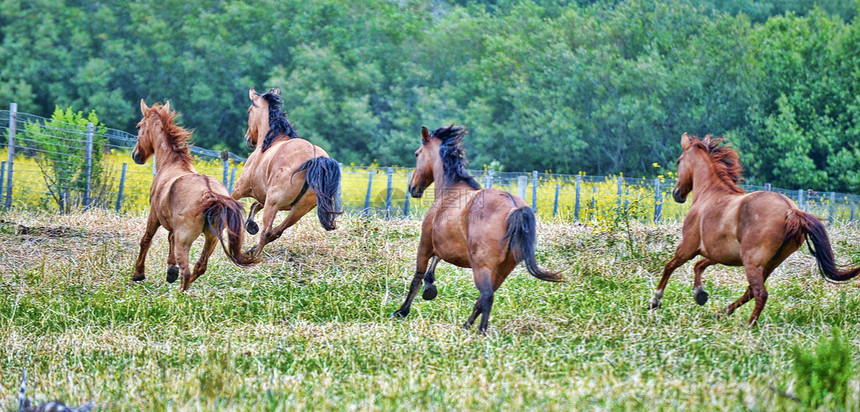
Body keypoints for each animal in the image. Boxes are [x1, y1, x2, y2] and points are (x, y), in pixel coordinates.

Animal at [131, 100, 258, 292]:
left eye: (139, 126)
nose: (136, 155)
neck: (172, 164)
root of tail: (212, 195)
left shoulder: (154, 215)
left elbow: (146, 240)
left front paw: (138, 273)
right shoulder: (173, 225)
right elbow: (170, 238)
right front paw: (171, 270)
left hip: (186, 239)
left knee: (187, 271)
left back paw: (178, 294)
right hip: (212, 238)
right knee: (200, 266)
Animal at [235, 87, 342, 256]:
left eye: (249, 110)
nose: (248, 139)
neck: (272, 141)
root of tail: (315, 159)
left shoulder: (242, 188)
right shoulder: (265, 196)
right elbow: (256, 205)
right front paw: (251, 225)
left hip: (275, 203)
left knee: (267, 231)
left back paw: (250, 256)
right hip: (298, 210)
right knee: (275, 232)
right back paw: (252, 251)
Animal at [392, 124, 564, 332]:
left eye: (417, 153)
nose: (413, 188)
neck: (451, 190)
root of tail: (514, 206)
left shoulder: (425, 245)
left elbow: (416, 278)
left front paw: (402, 311)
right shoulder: (445, 246)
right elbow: (434, 264)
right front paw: (430, 287)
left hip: (482, 267)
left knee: (487, 296)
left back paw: (480, 332)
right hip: (502, 269)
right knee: (483, 299)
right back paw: (467, 325)